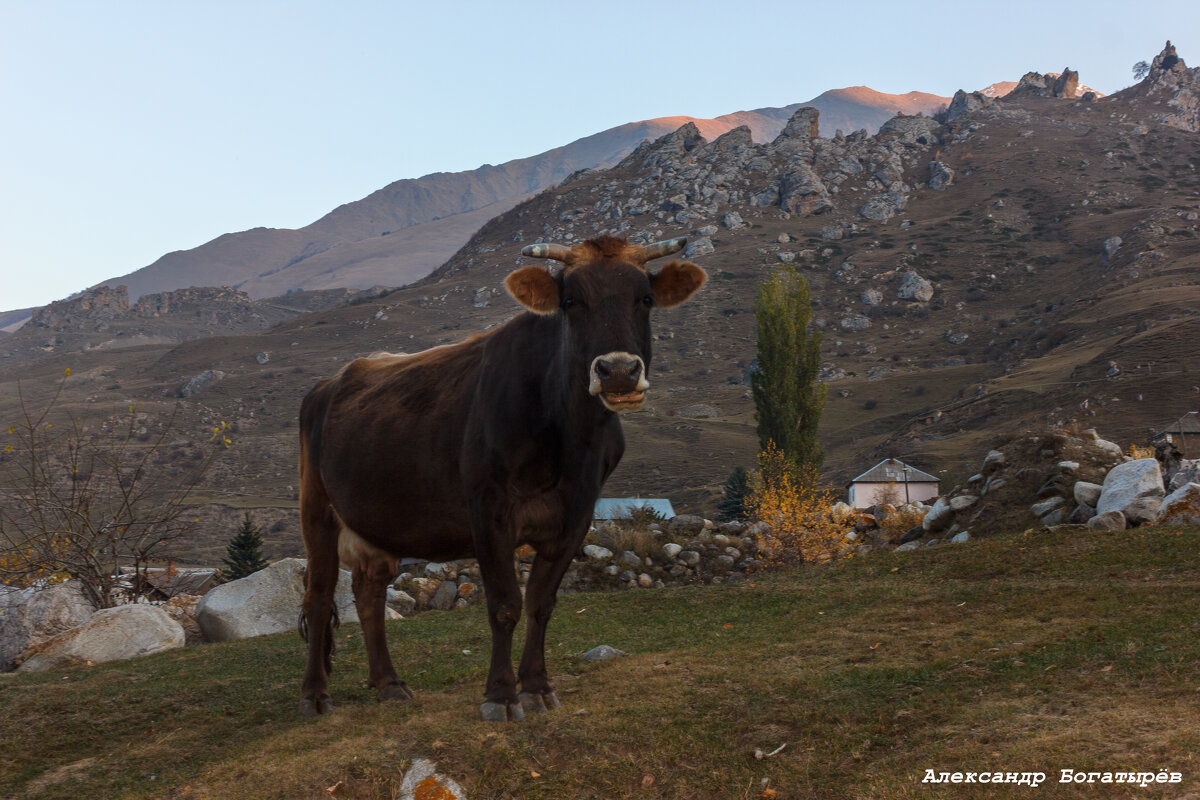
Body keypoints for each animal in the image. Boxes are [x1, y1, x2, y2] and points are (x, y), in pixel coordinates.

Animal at [295, 235, 700, 724]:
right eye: (570, 301)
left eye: (644, 299)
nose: (618, 371)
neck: (567, 441)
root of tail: (330, 383)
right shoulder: (488, 511)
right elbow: (505, 605)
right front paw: (502, 695)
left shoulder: (576, 515)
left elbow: (541, 604)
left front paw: (538, 687)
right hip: (316, 509)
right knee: (319, 596)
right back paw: (315, 694)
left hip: (376, 520)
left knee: (369, 590)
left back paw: (389, 684)